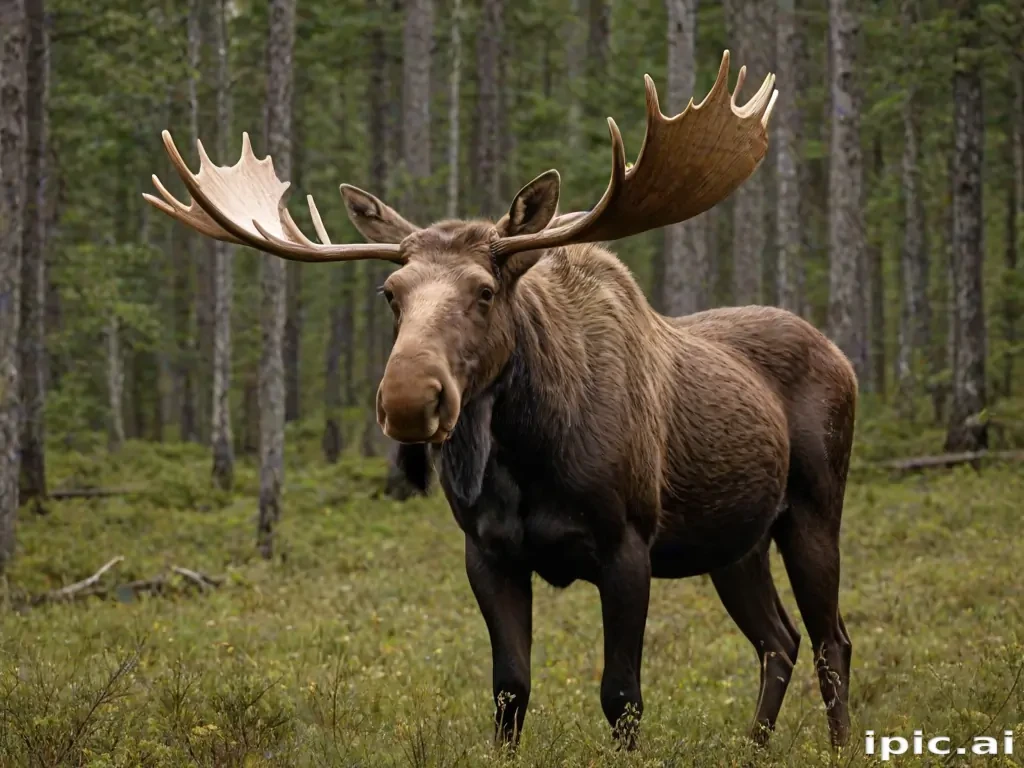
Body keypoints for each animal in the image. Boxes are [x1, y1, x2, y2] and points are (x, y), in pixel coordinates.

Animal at [144, 50, 856, 753]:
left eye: (485, 291)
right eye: (390, 292)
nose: (408, 399)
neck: (527, 454)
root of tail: (842, 356)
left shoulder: (627, 545)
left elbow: (622, 699)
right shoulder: (487, 552)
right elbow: (510, 692)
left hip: (813, 511)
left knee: (832, 640)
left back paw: (839, 746)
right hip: (737, 542)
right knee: (779, 639)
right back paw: (754, 746)